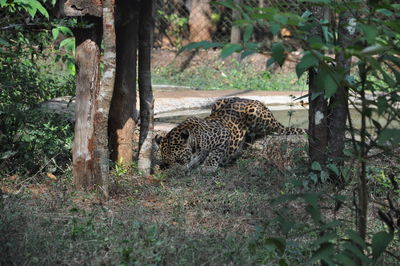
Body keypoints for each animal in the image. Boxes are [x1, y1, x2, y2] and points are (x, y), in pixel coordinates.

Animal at [155, 96, 304, 169]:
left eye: (179, 159)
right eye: (167, 161)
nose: (175, 173)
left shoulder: (223, 135)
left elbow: (214, 154)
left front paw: (208, 167)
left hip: (256, 113)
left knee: (273, 130)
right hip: (218, 102)